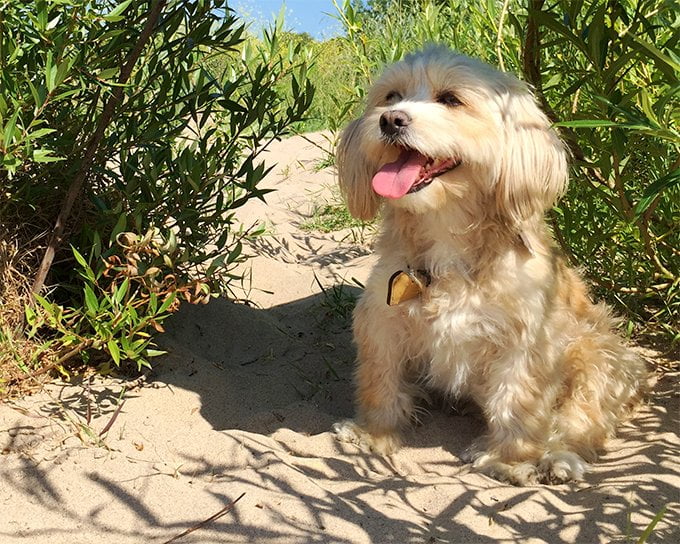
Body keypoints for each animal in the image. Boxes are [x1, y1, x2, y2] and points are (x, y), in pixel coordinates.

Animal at [334, 45, 648, 484]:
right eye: (391, 96)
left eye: (451, 99)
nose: (390, 119)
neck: (446, 230)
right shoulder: (383, 320)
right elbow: (380, 380)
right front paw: (373, 433)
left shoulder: (527, 342)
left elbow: (517, 402)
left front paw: (509, 461)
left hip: (601, 356)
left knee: (582, 420)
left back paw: (559, 458)